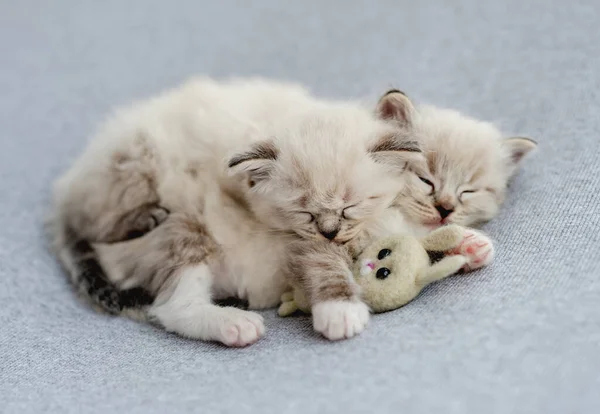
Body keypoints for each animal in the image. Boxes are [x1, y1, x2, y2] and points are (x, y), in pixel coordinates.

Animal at [48, 77, 422, 346]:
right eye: (304, 213)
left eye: (349, 207)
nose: (329, 231)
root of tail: (66, 190)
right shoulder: (298, 237)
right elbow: (324, 264)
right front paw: (340, 312)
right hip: (164, 203)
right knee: (170, 306)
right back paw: (234, 324)